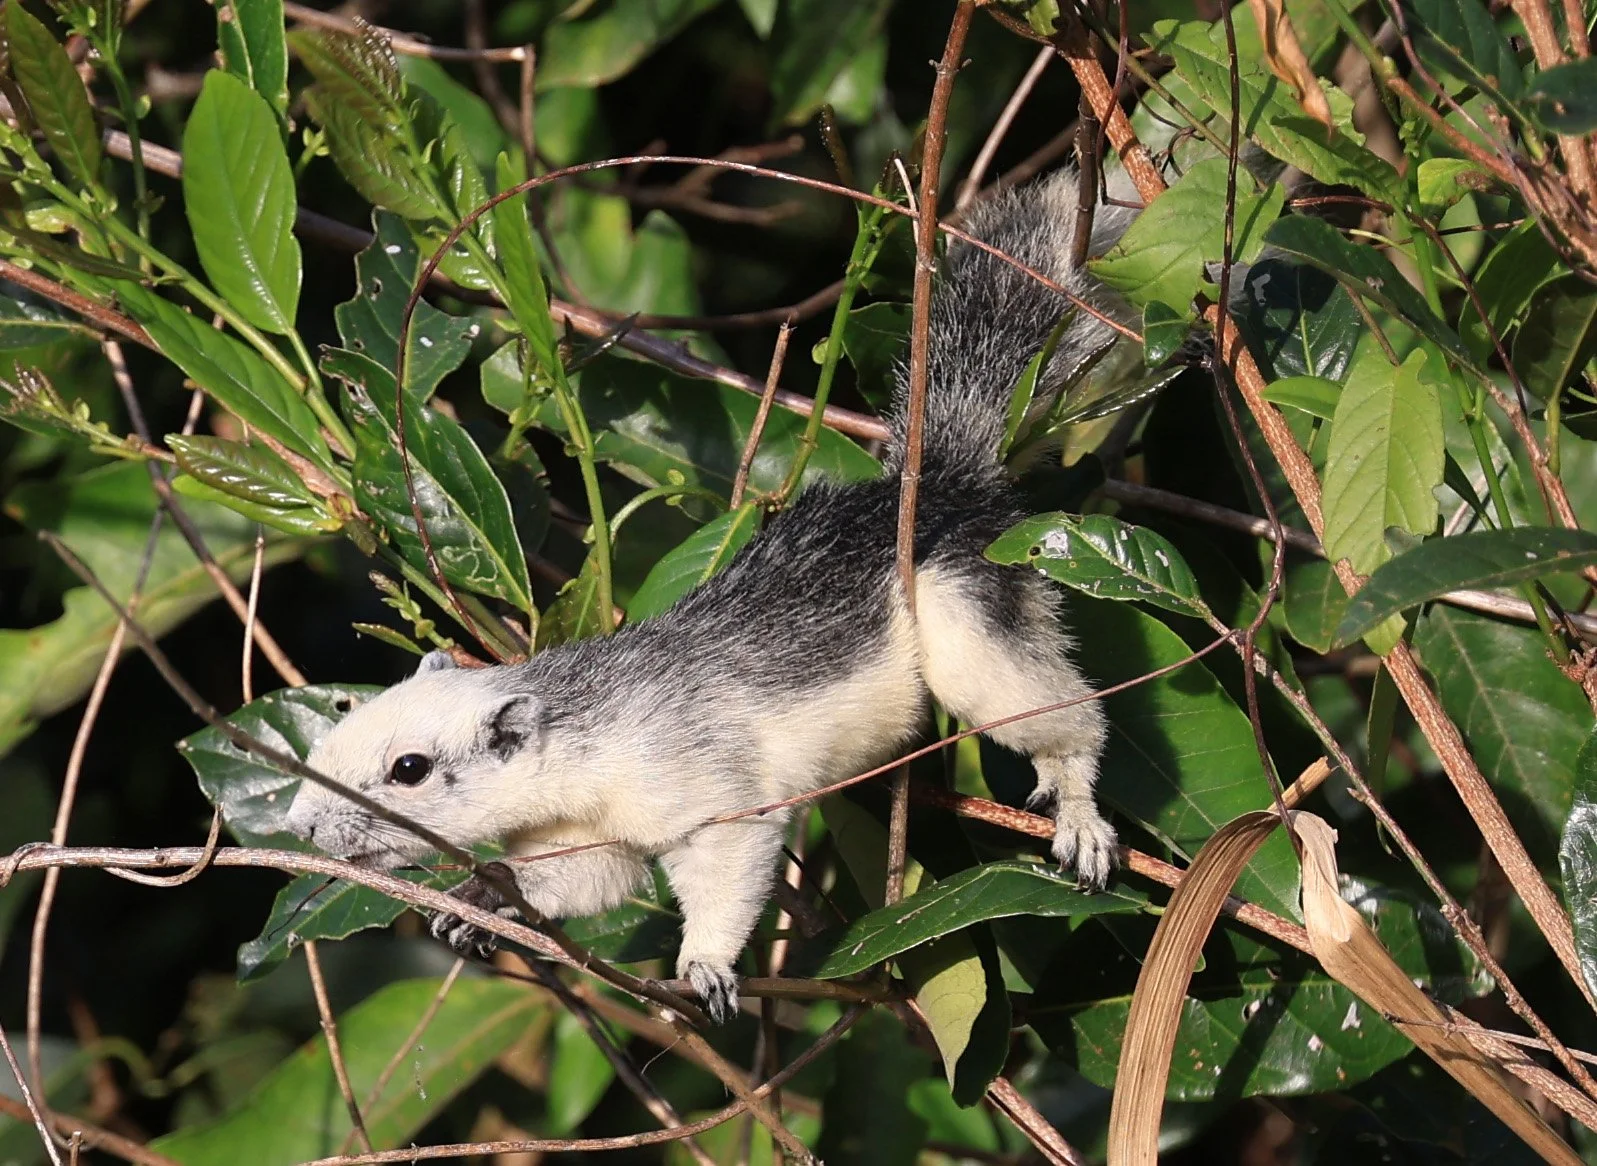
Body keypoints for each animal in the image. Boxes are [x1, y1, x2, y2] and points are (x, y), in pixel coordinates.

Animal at [283, 169, 1135, 1023]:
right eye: (334, 730)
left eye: (410, 770)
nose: (302, 829)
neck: (581, 743)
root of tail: (945, 484)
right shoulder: (586, 833)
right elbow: (579, 881)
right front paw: (483, 899)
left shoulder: (708, 786)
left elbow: (728, 863)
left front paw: (704, 967)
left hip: (965, 616)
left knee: (1067, 718)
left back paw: (1079, 814)